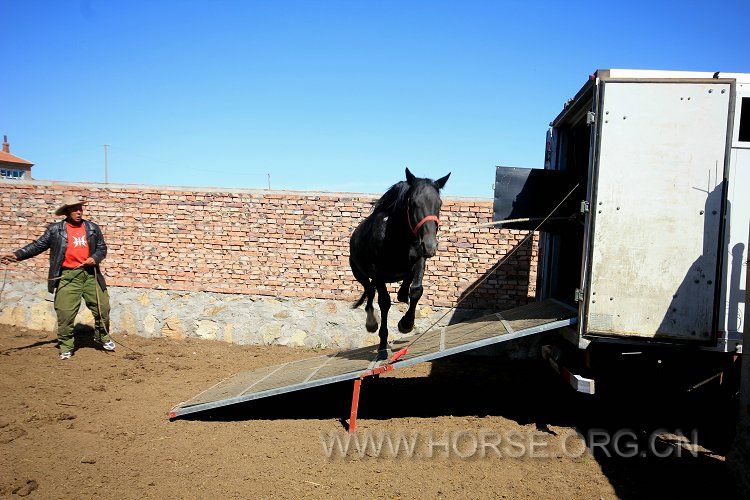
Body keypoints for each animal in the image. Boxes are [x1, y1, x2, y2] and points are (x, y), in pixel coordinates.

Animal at [350, 168, 450, 356]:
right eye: (413, 202)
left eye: (439, 203)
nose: (430, 245)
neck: (397, 238)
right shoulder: (378, 272)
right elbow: (384, 302)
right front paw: (382, 347)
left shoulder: (419, 260)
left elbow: (416, 290)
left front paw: (406, 324)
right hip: (359, 273)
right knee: (369, 291)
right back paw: (371, 323)